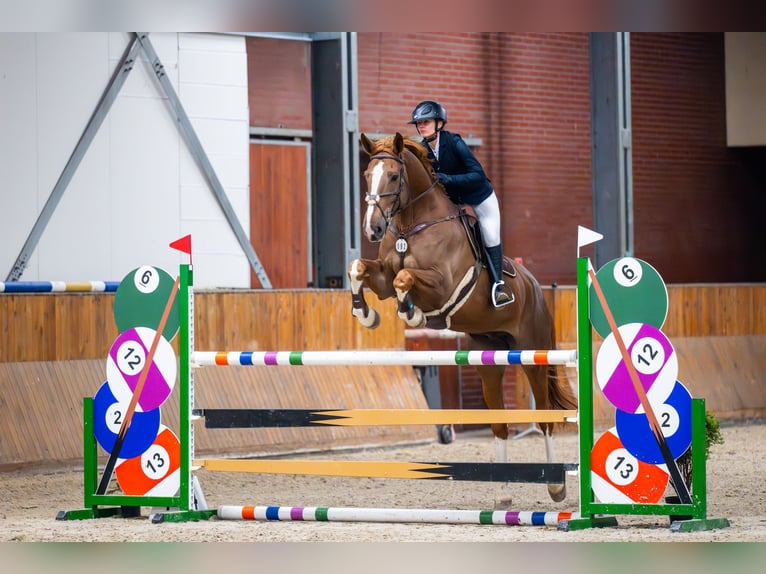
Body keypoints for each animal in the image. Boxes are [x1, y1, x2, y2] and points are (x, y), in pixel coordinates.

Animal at [347, 133, 578, 502]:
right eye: (368, 175)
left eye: (394, 177)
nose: (373, 229)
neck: (411, 224)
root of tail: (536, 287)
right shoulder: (381, 277)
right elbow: (359, 269)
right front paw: (366, 314)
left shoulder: (441, 284)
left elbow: (405, 279)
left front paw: (412, 314)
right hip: (489, 360)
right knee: (500, 424)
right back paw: (502, 494)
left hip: (533, 356)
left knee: (544, 417)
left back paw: (556, 487)